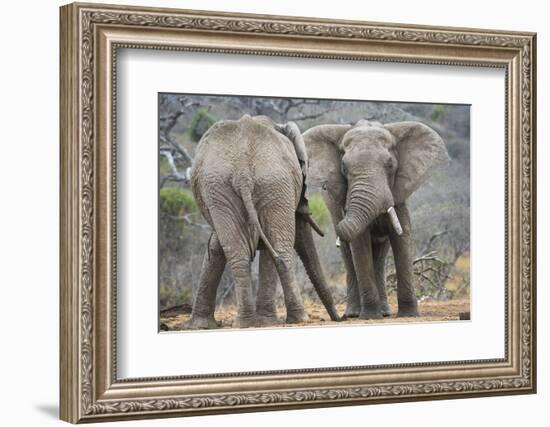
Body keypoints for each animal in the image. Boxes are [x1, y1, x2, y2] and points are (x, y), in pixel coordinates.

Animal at [187, 115, 340, 330]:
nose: (339, 318)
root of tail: (242, 170)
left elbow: (216, 246)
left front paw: (200, 325)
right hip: (265, 184)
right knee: (278, 248)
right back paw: (293, 319)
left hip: (233, 188)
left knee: (242, 252)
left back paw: (248, 322)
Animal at [304, 118, 450, 320]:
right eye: (344, 167)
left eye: (390, 165)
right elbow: (359, 244)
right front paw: (371, 316)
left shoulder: (398, 195)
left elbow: (402, 238)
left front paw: (409, 315)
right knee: (349, 255)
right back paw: (354, 313)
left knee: (380, 255)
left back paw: (385, 312)